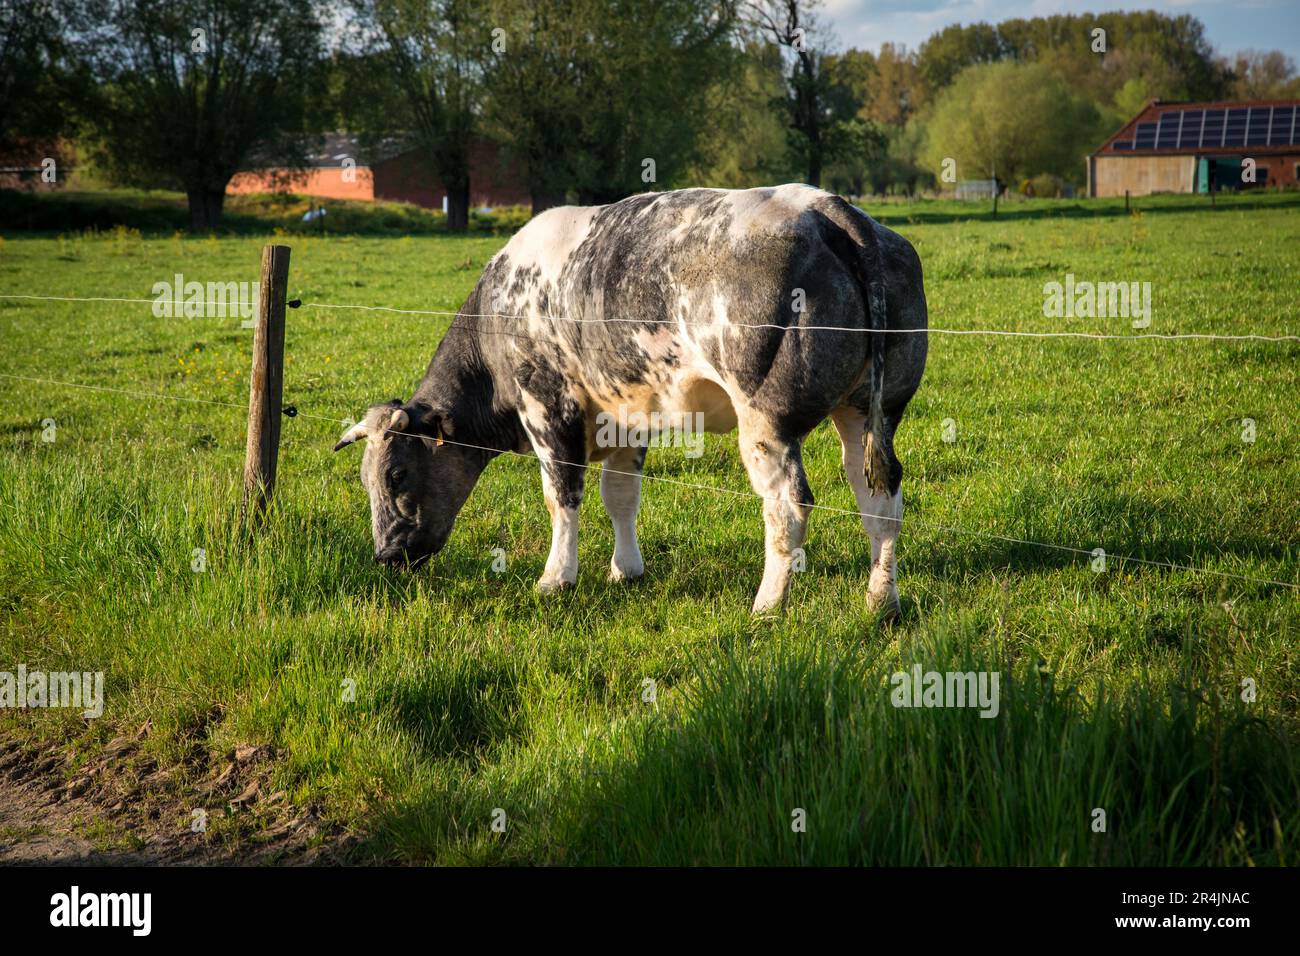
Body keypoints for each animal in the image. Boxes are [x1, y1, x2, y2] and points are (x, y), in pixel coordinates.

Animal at [335, 184, 925, 616]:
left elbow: (561, 497)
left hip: (766, 421)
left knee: (787, 504)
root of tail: (824, 207)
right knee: (880, 498)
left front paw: (556, 578)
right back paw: (881, 601)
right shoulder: (625, 416)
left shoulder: (548, 407)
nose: (384, 554)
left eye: (397, 475)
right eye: (365, 480)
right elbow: (620, 495)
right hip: (870, 412)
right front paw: (626, 570)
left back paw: (767, 604)